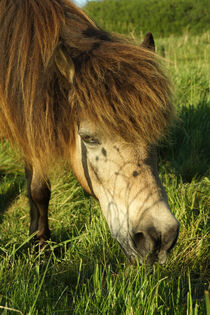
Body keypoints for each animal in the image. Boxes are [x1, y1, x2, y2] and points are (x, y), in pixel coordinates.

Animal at [0, 0, 179, 266]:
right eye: (88, 138)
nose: (160, 238)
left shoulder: (32, 122)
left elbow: (37, 187)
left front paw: (38, 239)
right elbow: (38, 190)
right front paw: (41, 244)